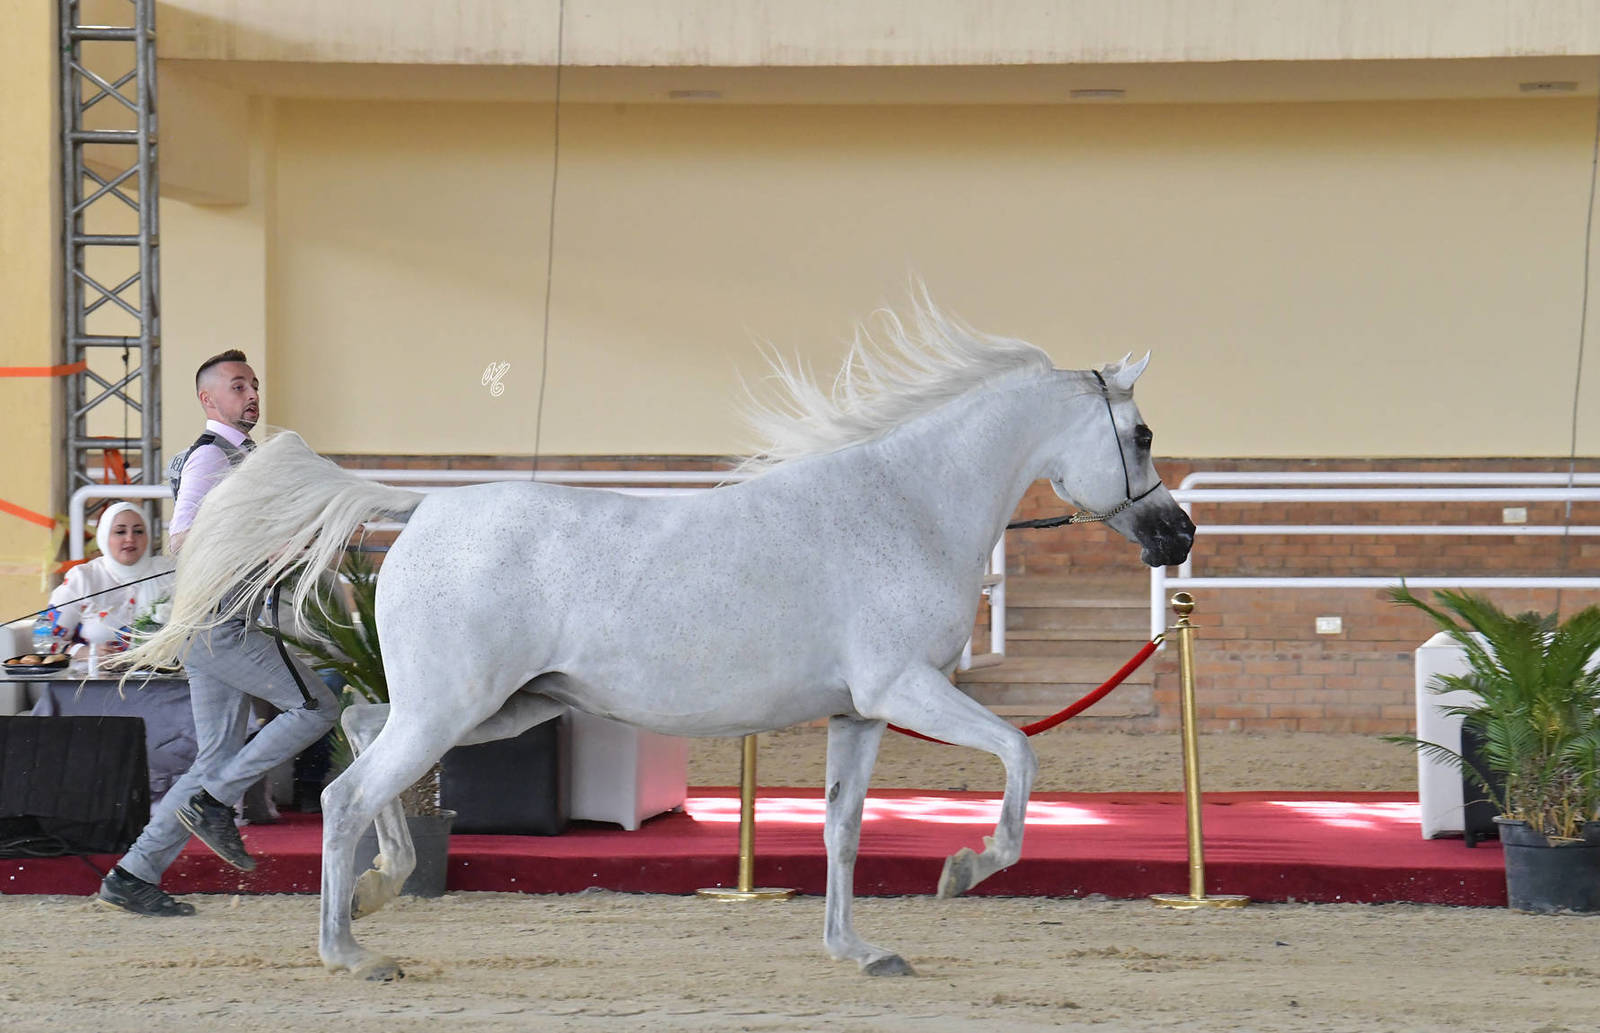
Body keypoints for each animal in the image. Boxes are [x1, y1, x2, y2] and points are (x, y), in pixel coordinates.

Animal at [124, 298, 1194, 981]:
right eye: (1141, 434)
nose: (1179, 534)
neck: (904, 504)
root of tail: (424, 507)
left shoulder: (860, 714)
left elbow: (843, 831)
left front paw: (860, 951)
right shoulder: (907, 692)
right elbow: (1019, 754)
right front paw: (965, 868)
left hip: (492, 708)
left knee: (356, 723)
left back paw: (379, 892)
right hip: (454, 709)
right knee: (346, 790)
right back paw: (350, 948)